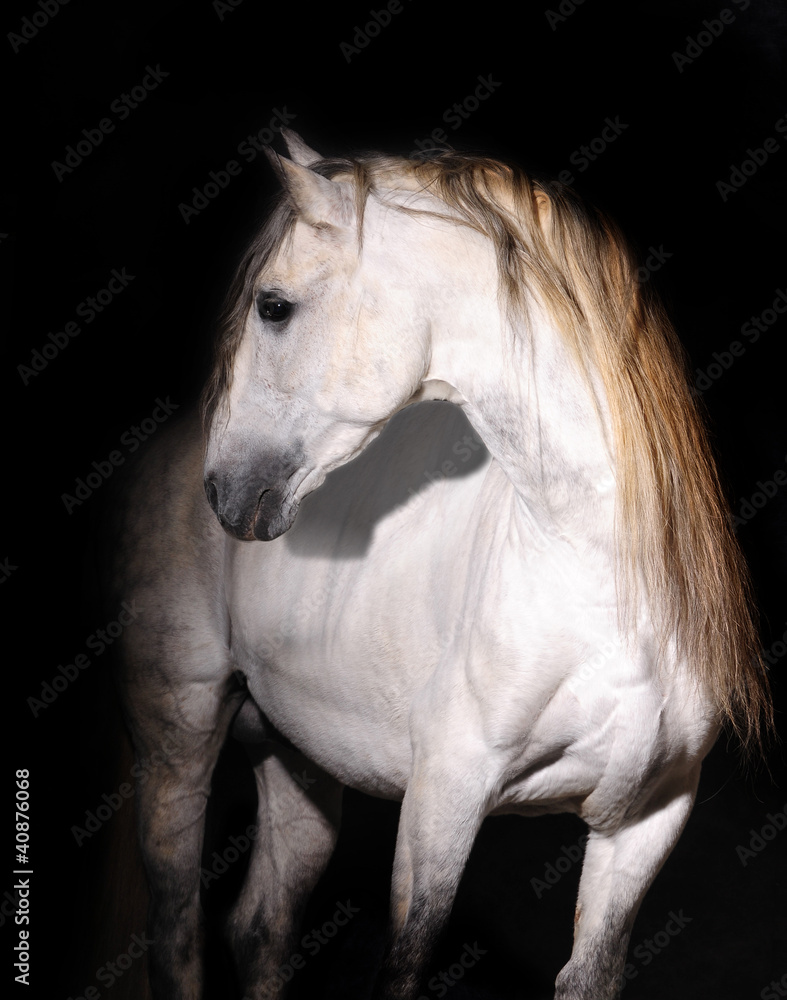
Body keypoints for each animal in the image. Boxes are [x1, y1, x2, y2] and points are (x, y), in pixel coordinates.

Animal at [108, 128, 771, 1000]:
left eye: (273, 305)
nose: (226, 491)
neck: (595, 594)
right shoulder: (440, 803)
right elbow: (404, 966)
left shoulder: (644, 821)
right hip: (177, 739)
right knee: (176, 928)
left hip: (298, 764)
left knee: (258, 927)